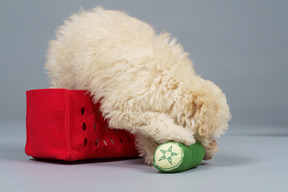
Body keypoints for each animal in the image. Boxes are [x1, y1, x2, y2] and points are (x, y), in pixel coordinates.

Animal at [45, 7, 232, 164]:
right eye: (207, 133)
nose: (212, 151)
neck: (173, 83)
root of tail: (77, 19)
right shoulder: (124, 107)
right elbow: (156, 119)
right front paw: (181, 136)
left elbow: (146, 129)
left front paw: (151, 151)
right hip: (65, 74)